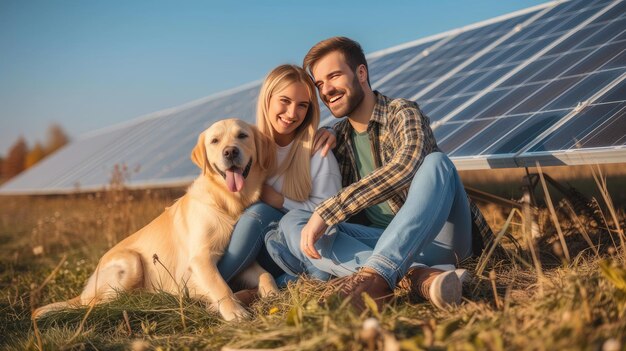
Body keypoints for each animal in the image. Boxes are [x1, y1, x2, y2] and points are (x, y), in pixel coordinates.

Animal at [34, 119, 278, 324]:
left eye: (242, 135)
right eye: (215, 141)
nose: (230, 152)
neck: (227, 202)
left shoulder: (243, 261)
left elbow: (265, 273)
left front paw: (272, 292)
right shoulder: (201, 260)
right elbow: (221, 287)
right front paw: (235, 312)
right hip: (131, 262)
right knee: (97, 305)